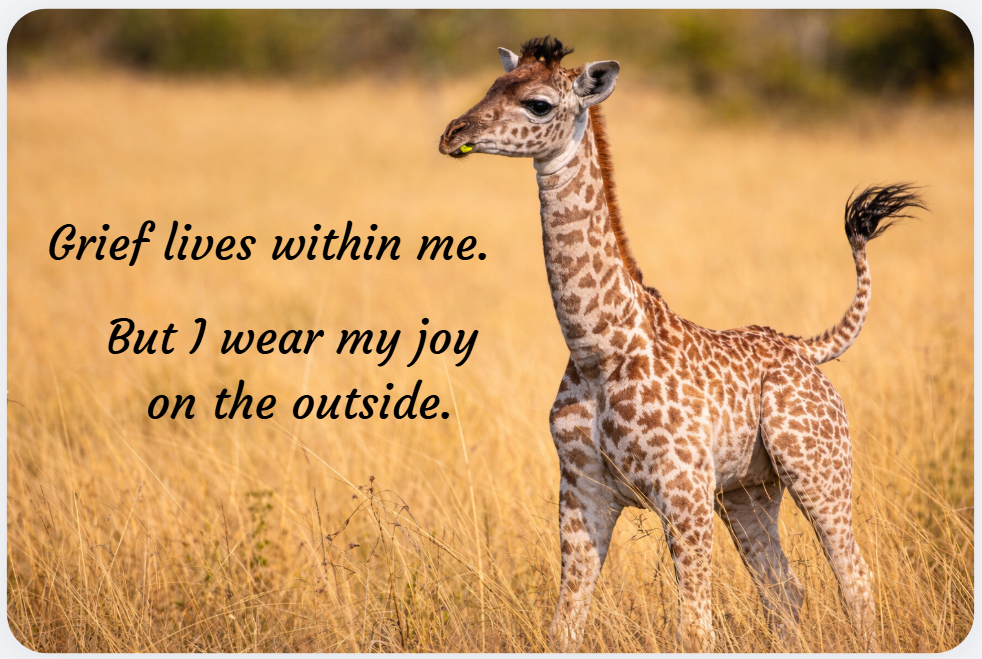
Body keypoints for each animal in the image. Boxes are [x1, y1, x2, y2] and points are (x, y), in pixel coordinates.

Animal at [438, 37, 923, 652]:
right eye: (493, 86)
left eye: (539, 104)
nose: (454, 133)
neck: (600, 348)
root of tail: (806, 348)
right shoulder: (581, 491)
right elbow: (564, 625)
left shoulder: (683, 489)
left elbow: (693, 629)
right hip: (748, 491)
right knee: (784, 590)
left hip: (816, 468)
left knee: (854, 576)